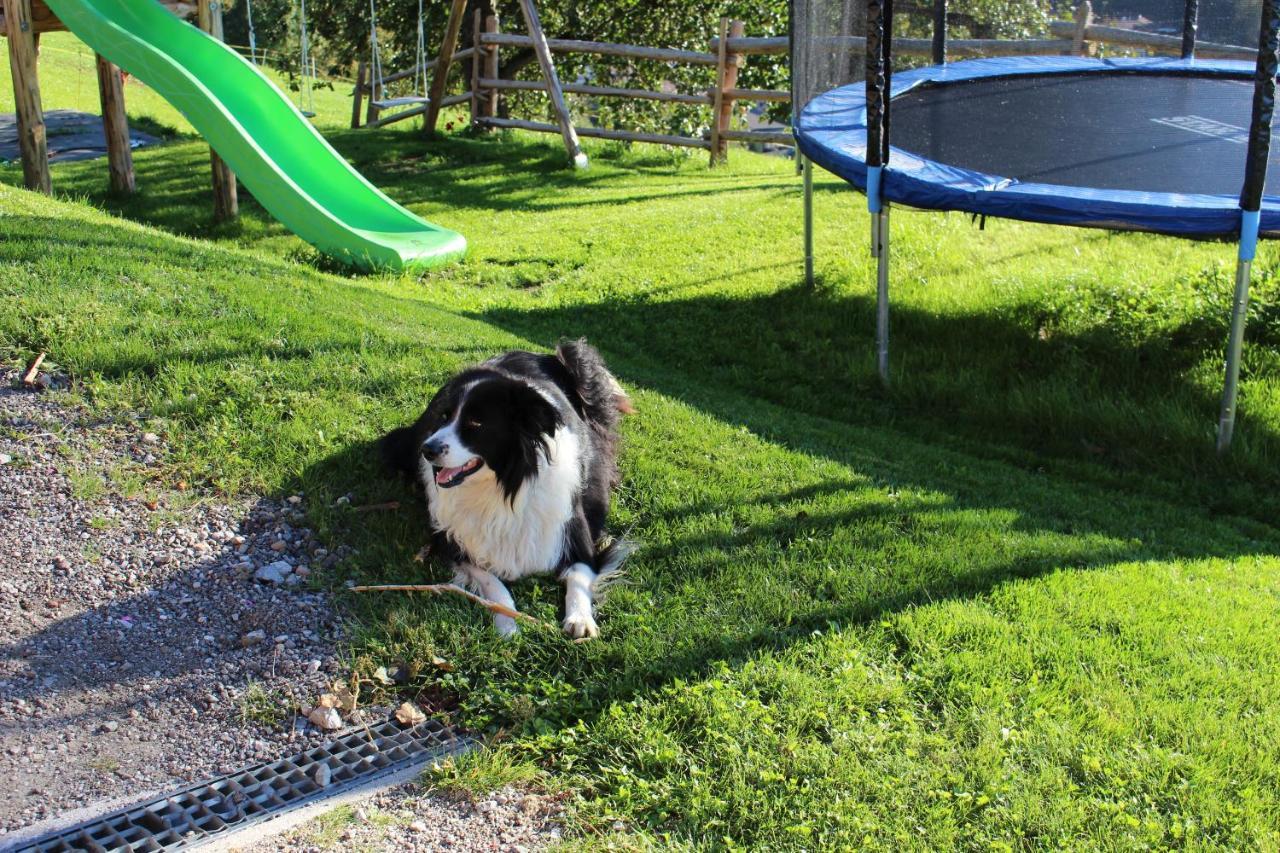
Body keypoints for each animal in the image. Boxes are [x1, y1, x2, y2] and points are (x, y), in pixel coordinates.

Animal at [378, 338, 634, 637]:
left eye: (475, 423)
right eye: (444, 417)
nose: (426, 450)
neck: (504, 488)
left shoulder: (576, 536)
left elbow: (579, 578)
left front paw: (581, 618)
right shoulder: (452, 539)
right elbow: (493, 582)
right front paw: (507, 621)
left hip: (582, 364)